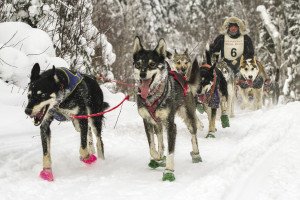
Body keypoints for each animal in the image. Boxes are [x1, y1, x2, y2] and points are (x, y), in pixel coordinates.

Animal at [134, 36, 204, 181]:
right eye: (138, 64)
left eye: (152, 64)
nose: (142, 75)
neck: (152, 95)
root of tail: (184, 79)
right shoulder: (147, 121)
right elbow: (152, 146)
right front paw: (157, 157)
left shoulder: (171, 126)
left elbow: (171, 150)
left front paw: (169, 170)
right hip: (158, 124)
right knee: (160, 138)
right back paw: (160, 155)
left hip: (188, 117)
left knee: (193, 135)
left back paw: (196, 154)